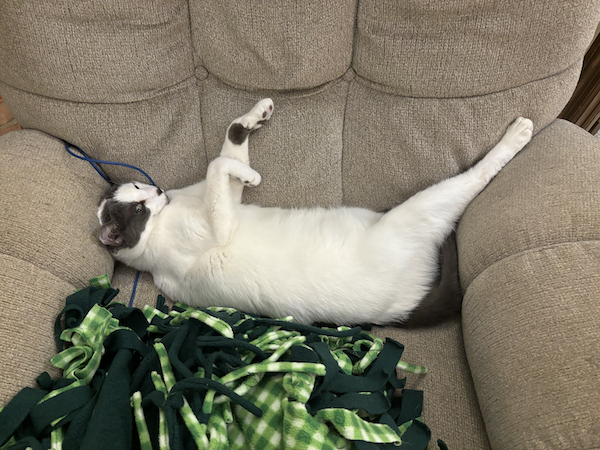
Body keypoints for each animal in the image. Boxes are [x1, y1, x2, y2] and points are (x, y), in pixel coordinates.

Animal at [98, 98, 536, 326]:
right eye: (139, 206)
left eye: (138, 189)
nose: (157, 190)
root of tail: (403, 310)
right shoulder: (217, 225)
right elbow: (219, 164)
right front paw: (254, 175)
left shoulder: (223, 200)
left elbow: (229, 145)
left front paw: (258, 115)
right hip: (420, 210)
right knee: (472, 180)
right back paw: (517, 135)